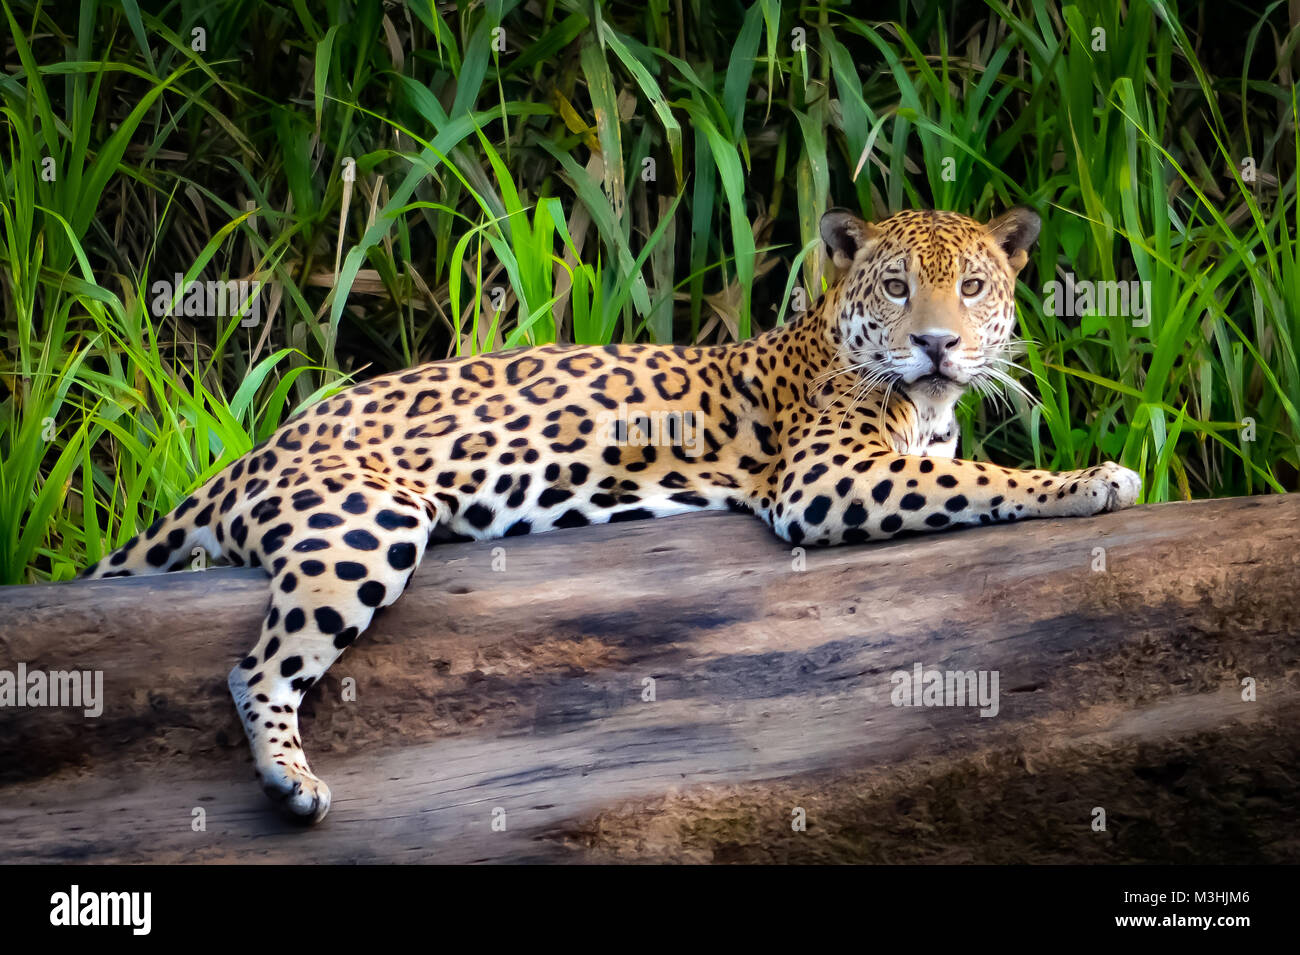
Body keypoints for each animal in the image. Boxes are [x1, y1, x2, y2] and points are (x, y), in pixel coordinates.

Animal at [81, 205, 1141, 823]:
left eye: (973, 286)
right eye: (896, 286)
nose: (936, 344)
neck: (921, 403)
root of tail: (258, 448)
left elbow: (967, 469)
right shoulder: (827, 476)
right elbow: (989, 480)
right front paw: (1093, 478)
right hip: (366, 519)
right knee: (256, 665)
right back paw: (291, 783)